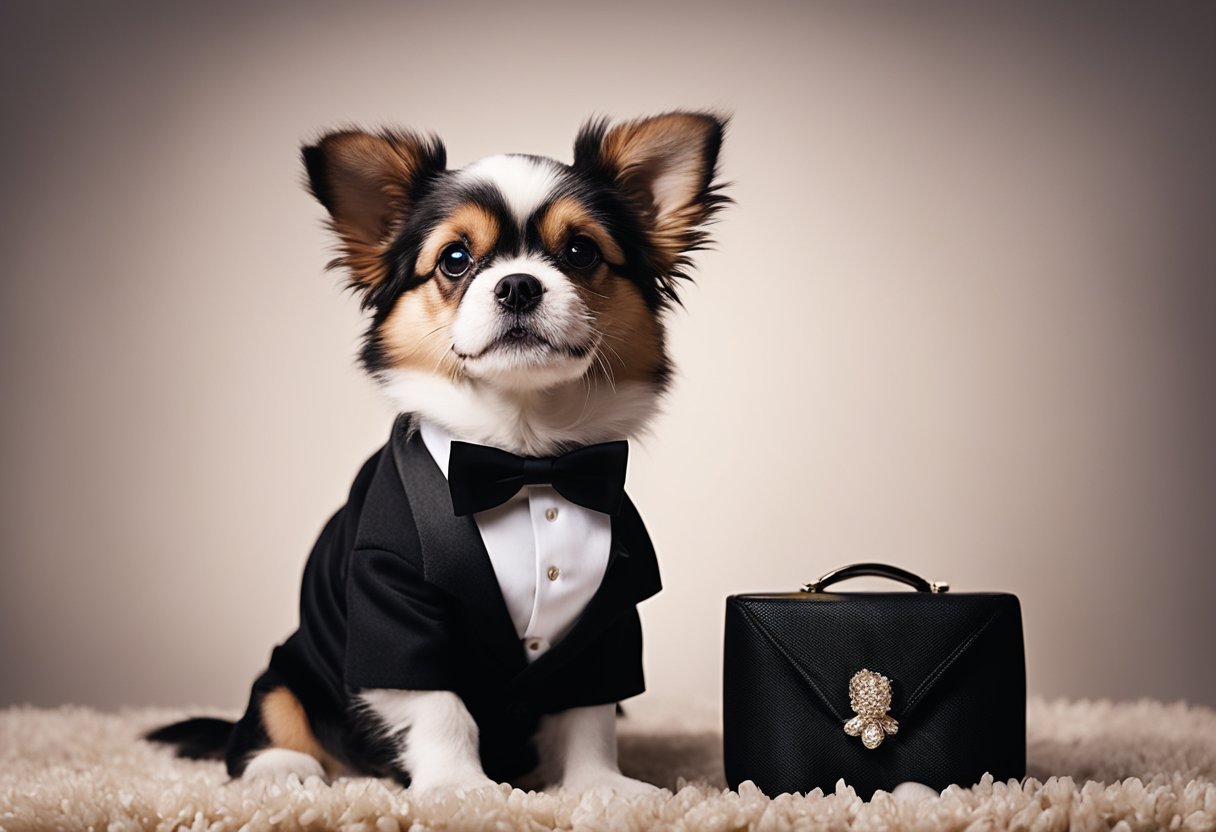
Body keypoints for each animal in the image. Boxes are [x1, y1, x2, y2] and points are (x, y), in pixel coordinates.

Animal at [147, 110, 724, 793]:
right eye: (455, 259)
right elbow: (440, 706)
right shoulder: (391, 601)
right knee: (267, 719)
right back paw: (284, 770)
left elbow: (589, 711)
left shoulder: (606, 621)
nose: (519, 285)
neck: (527, 459)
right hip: (288, 666)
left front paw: (598, 787)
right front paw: (457, 789)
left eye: (581, 252)